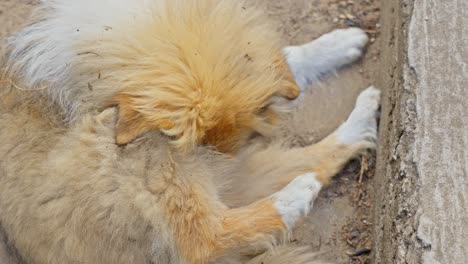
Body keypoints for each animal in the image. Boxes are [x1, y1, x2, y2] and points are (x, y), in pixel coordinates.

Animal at [0, 0, 378, 264]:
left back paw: (359, 121)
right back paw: (298, 192)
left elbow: (282, 61)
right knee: (208, 240)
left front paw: (338, 44)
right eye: (204, 142)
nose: (223, 161)